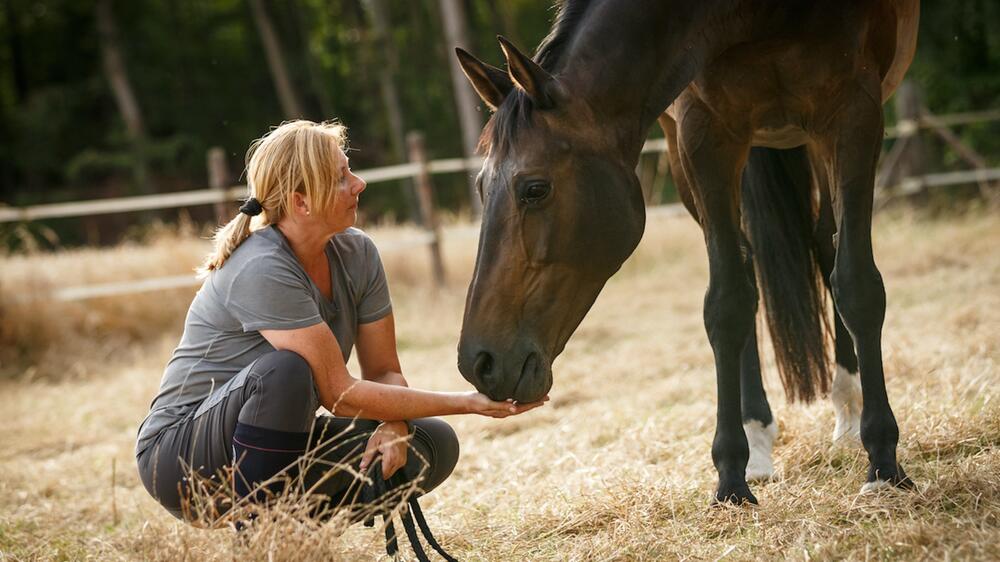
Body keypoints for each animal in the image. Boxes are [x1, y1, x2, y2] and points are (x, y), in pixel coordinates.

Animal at [458, 0, 916, 500]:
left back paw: (848, 412)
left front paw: (883, 461)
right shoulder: (702, 132)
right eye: (479, 187)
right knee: (747, 268)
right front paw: (732, 476)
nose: (478, 363)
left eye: (535, 189)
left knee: (824, 244)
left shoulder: (855, 111)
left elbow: (856, 284)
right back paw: (758, 437)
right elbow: (726, 303)